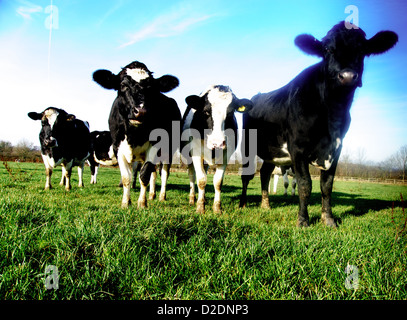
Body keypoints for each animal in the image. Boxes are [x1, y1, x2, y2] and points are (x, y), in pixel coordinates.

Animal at [93, 61, 182, 209]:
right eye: (123, 85)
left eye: (151, 88)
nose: (141, 111)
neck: (134, 135)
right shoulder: (118, 147)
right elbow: (126, 177)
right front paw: (125, 202)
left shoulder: (155, 146)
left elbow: (144, 175)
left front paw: (141, 203)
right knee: (154, 173)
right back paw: (152, 195)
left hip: (169, 151)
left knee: (163, 173)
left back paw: (161, 197)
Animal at [182, 86, 252, 214]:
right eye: (206, 111)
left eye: (230, 113)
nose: (217, 143)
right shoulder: (196, 153)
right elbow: (201, 180)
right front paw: (200, 208)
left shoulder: (226, 155)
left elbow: (218, 182)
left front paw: (217, 208)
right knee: (192, 176)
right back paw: (192, 199)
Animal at [239, 21, 398, 228]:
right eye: (327, 49)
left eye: (362, 49)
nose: (347, 76)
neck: (331, 111)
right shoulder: (297, 148)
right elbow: (305, 184)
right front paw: (303, 221)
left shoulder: (336, 148)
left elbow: (327, 185)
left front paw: (328, 219)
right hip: (247, 147)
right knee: (247, 175)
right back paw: (243, 204)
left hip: (272, 152)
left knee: (265, 172)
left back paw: (265, 205)